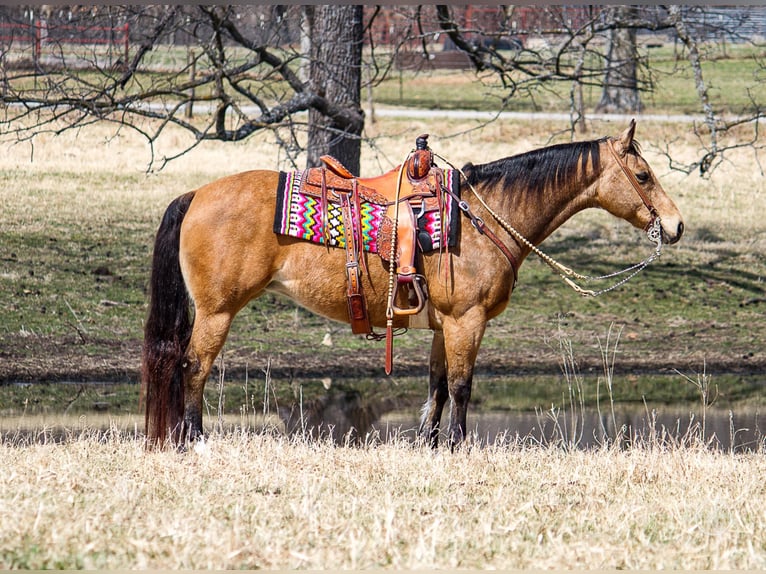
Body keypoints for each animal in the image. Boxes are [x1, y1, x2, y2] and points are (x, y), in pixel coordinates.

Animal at [141, 119, 688, 448]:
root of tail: (195, 195)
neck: (480, 217)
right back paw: (195, 440)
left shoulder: (444, 326)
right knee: (193, 367)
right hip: (217, 312)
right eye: (642, 175)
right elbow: (463, 387)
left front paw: (431, 445)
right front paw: (461, 446)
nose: (677, 225)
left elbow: (438, 387)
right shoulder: (467, 322)